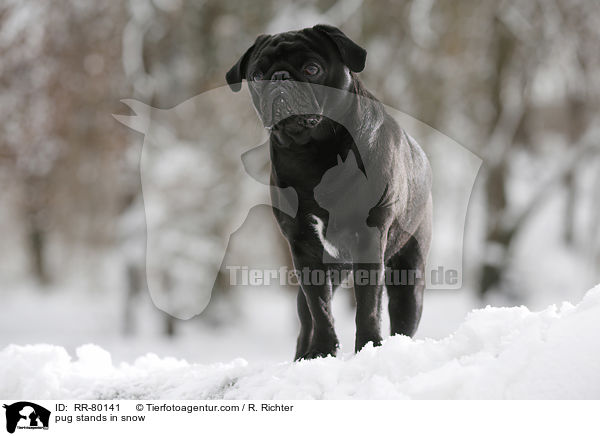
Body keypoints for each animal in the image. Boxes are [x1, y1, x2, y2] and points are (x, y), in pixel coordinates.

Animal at [226, 23, 432, 360]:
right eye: (256, 75)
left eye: (312, 68)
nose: (279, 77)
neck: (311, 153)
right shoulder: (303, 249)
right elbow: (319, 308)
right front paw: (321, 352)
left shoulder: (370, 241)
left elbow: (368, 307)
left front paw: (368, 347)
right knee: (306, 317)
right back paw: (302, 355)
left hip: (408, 276)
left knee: (402, 317)